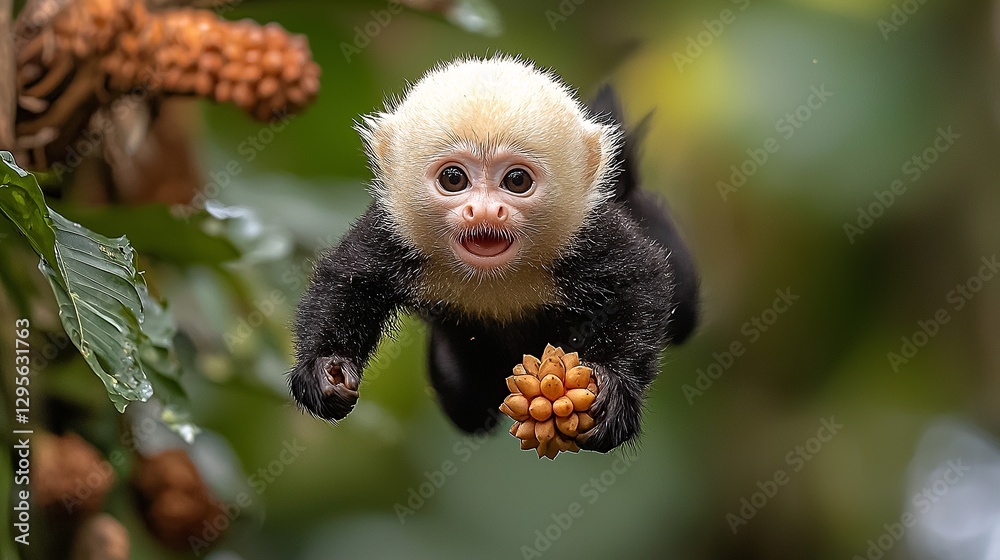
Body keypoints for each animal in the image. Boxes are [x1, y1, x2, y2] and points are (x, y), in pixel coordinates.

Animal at [289, 55, 698, 452]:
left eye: (517, 180)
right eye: (453, 178)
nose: (485, 212)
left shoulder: (588, 234)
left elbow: (642, 280)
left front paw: (615, 387)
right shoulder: (392, 233)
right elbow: (348, 279)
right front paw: (326, 370)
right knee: (468, 411)